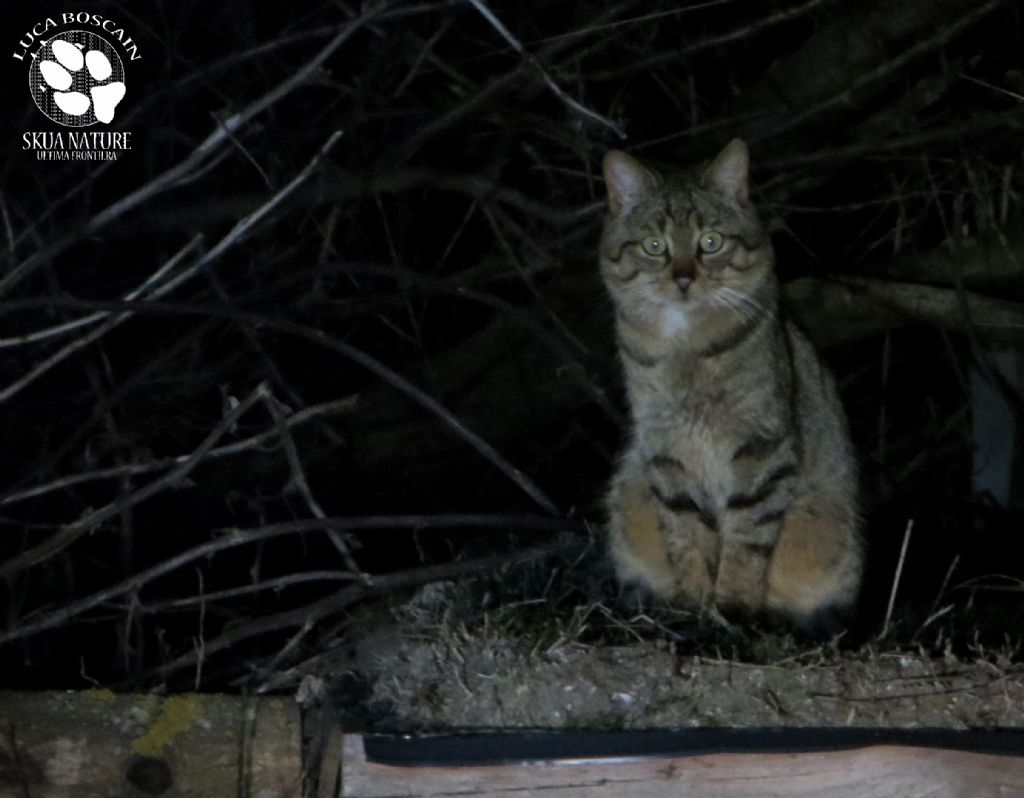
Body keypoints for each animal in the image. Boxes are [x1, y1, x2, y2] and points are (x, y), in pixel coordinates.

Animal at [598, 139, 864, 631]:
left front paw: (733, 611)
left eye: (710, 242)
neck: (685, 351)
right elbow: (685, 538)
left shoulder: (760, 449)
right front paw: (693, 611)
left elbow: (745, 540)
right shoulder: (667, 455)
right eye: (654, 246)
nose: (684, 277)